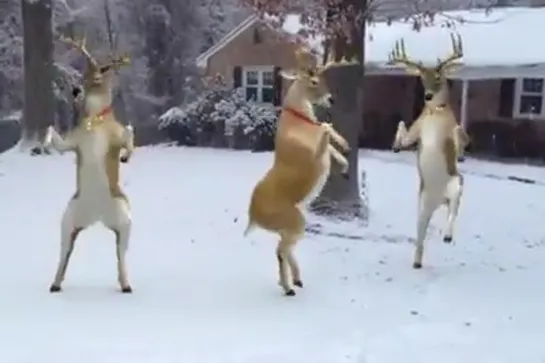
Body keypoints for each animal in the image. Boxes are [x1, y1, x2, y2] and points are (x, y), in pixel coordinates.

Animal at [43, 35, 135, 294]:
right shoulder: (73, 142)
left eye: (98, 74)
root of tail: (97, 217)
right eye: (82, 73)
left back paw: (126, 284)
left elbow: (130, 133)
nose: (74, 90)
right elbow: (52, 133)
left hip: (124, 219)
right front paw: (42, 144)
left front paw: (126, 156)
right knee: (66, 251)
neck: (96, 118)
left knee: (120, 254)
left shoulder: (116, 136)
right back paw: (55, 284)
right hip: (69, 219)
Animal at [243, 47, 352, 298]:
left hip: (288, 226)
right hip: (294, 219)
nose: (331, 99)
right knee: (281, 250)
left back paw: (296, 280)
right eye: (313, 80)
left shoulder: (319, 153)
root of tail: (253, 216)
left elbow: (329, 140)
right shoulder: (312, 156)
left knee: (285, 249)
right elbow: (326, 127)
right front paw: (345, 148)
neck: (299, 120)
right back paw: (288, 287)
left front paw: (345, 163)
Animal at [386, 34, 472, 270]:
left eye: (439, 77)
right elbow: (403, 128)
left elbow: (461, 133)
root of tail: (438, 200)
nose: (428, 96)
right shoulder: (418, 130)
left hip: (455, 183)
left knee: (454, 208)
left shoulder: (451, 131)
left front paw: (461, 151)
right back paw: (417, 261)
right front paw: (395, 145)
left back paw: (448, 236)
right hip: (423, 202)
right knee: (421, 231)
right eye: (422, 79)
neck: (435, 115)